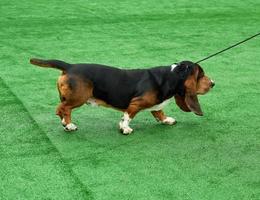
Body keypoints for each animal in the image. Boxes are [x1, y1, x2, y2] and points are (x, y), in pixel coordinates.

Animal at [29, 58, 214, 135]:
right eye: (201, 75)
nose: (213, 83)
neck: (172, 76)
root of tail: (70, 66)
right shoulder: (135, 104)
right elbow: (127, 117)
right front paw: (125, 129)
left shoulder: (155, 104)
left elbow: (158, 112)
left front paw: (167, 120)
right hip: (78, 98)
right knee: (62, 108)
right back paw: (68, 125)